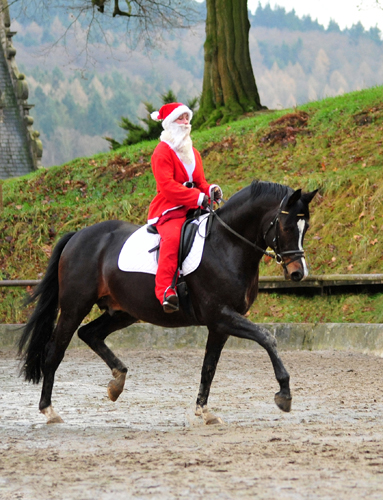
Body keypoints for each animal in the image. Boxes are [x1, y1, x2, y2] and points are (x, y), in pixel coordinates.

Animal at [18, 182, 318, 424]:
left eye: (306, 227)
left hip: (123, 312)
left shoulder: (219, 324)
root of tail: (79, 235)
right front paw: (284, 394)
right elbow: (267, 337)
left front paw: (204, 412)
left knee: (89, 334)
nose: (298, 273)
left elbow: (209, 367)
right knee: (54, 351)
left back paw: (117, 381)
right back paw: (49, 410)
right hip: (74, 307)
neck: (228, 245)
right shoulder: (221, 315)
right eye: (286, 226)